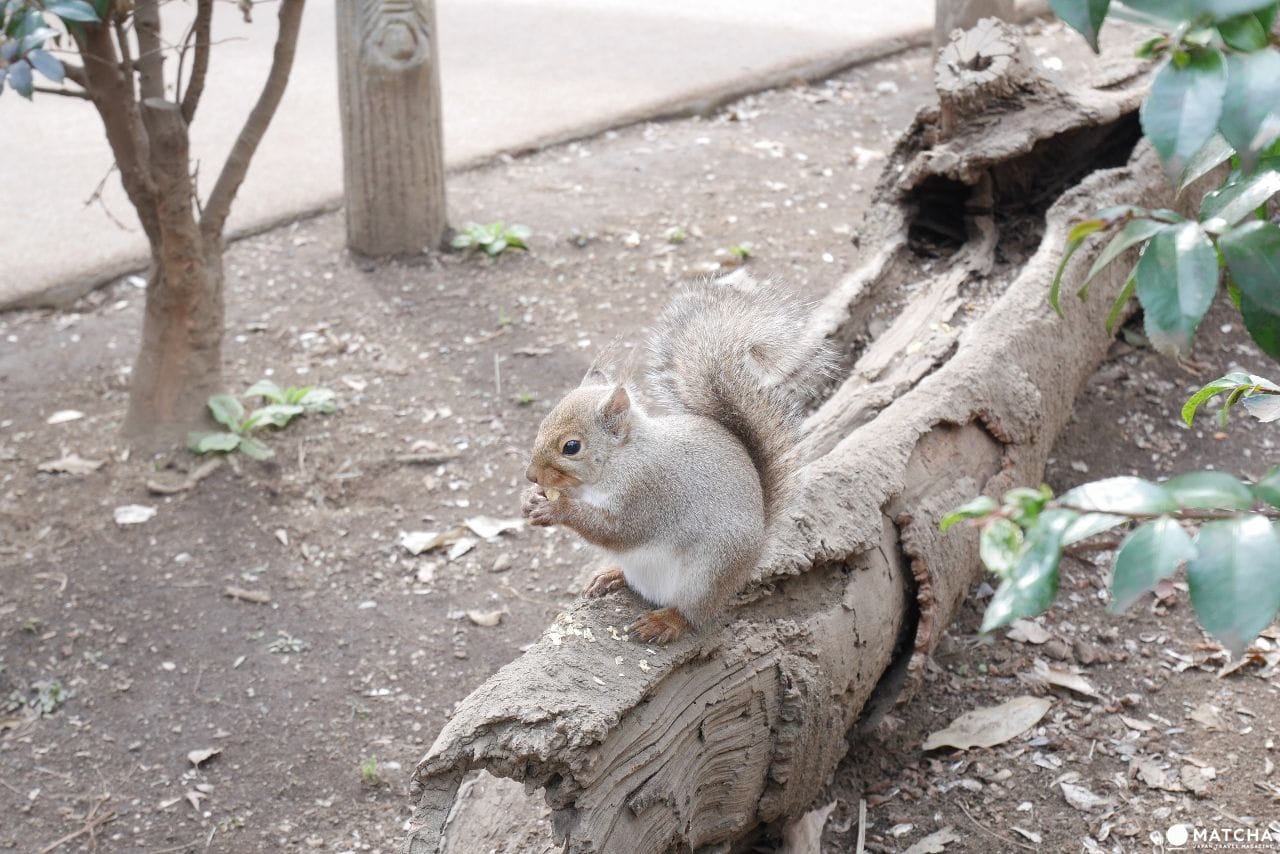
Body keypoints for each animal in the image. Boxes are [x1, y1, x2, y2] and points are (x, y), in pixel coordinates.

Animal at [519, 272, 829, 640]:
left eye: (571, 447)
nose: (531, 475)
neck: (617, 463)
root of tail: (744, 569)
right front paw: (531, 498)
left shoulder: (648, 491)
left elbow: (618, 530)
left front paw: (556, 509)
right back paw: (612, 575)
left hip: (708, 573)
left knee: (694, 613)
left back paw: (665, 621)